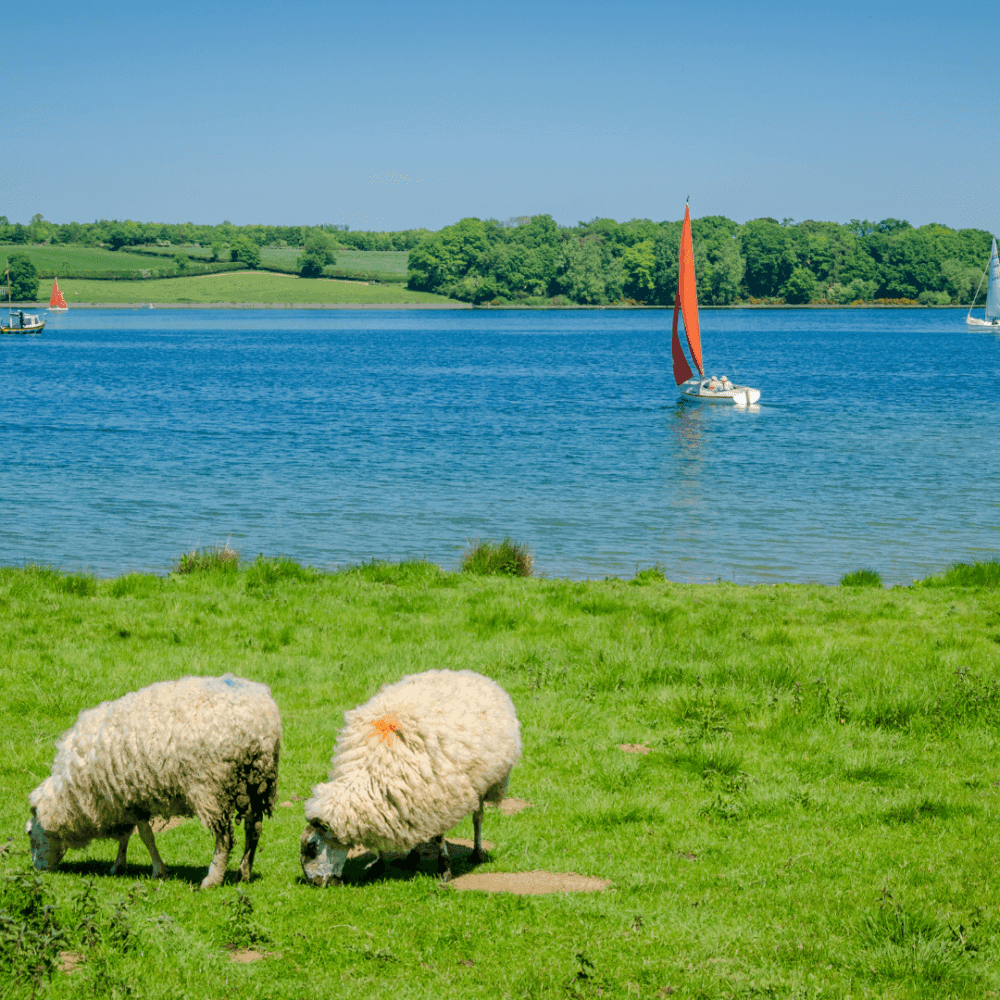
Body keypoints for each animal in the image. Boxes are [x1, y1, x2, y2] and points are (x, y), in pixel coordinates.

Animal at [26, 673, 281, 889]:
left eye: (29, 834)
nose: (38, 869)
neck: (72, 794)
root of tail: (261, 715)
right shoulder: (125, 800)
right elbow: (126, 836)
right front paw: (118, 866)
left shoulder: (132, 799)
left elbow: (146, 837)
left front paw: (158, 870)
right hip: (258, 781)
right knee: (254, 828)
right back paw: (244, 873)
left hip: (211, 788)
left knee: (224, 838)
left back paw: (212, 879)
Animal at [300, 668, 521, 887]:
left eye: (312, 847)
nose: (316, 884)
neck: (369, 771)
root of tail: (473, 675)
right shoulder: (395, 799)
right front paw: (379, 864)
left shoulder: (436, 796)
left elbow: (438, 837)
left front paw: (444, 869)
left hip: (487, 783)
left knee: (478, 818)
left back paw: (477, 853)